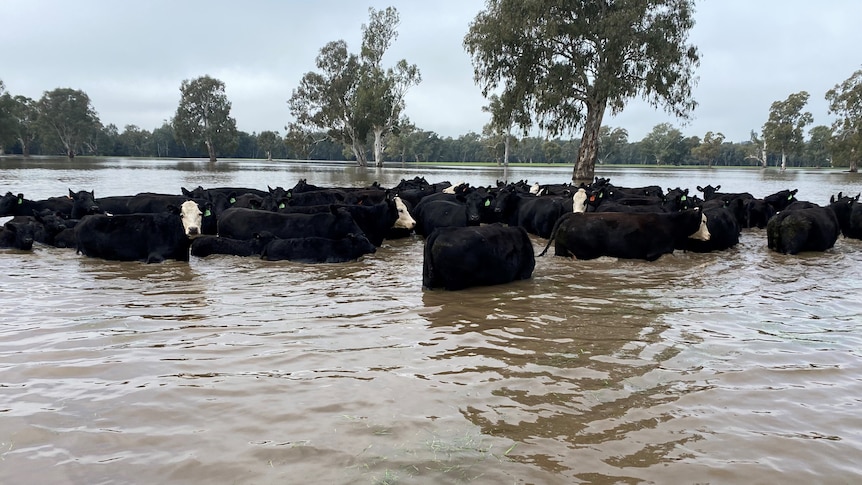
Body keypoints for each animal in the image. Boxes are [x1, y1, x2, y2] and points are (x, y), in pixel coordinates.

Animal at [74, 200, 203, 263]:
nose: (193, 229)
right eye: (181, 215)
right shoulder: (154, 257)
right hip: (89, 253)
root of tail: (85, 218)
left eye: (200, 214)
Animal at [540, 209, 711, 261]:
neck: (670, 224)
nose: (709, 235)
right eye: (703, 221)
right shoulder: (655, 253)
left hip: (560, 250)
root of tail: (573, 215)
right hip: (582, 253)